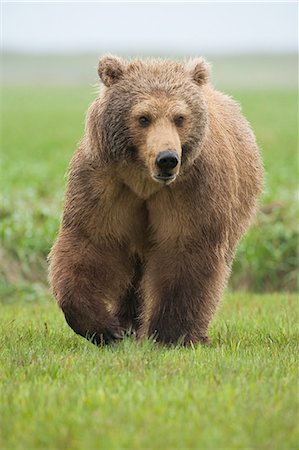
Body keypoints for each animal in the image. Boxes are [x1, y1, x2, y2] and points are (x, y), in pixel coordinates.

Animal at [49, 54, 264, 346]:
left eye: (179, 117)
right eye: (143, 117)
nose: (167, 159)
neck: (144, 181)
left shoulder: (192, 189)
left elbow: (185, 249)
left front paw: (169, 334)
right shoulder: (105, 183)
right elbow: (92, 242)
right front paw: (107, 328)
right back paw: (128, 322)